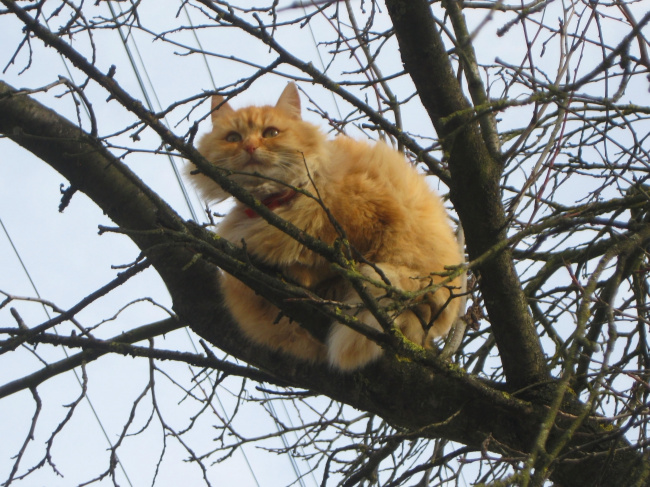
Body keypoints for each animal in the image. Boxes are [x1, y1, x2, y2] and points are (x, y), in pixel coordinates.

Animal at [187, 83, 460, 370]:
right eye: (233, 138)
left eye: (271, 133)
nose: (249, 147)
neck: (276, 204)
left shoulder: (365, 226)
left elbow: (336, 264)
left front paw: (310, 277)